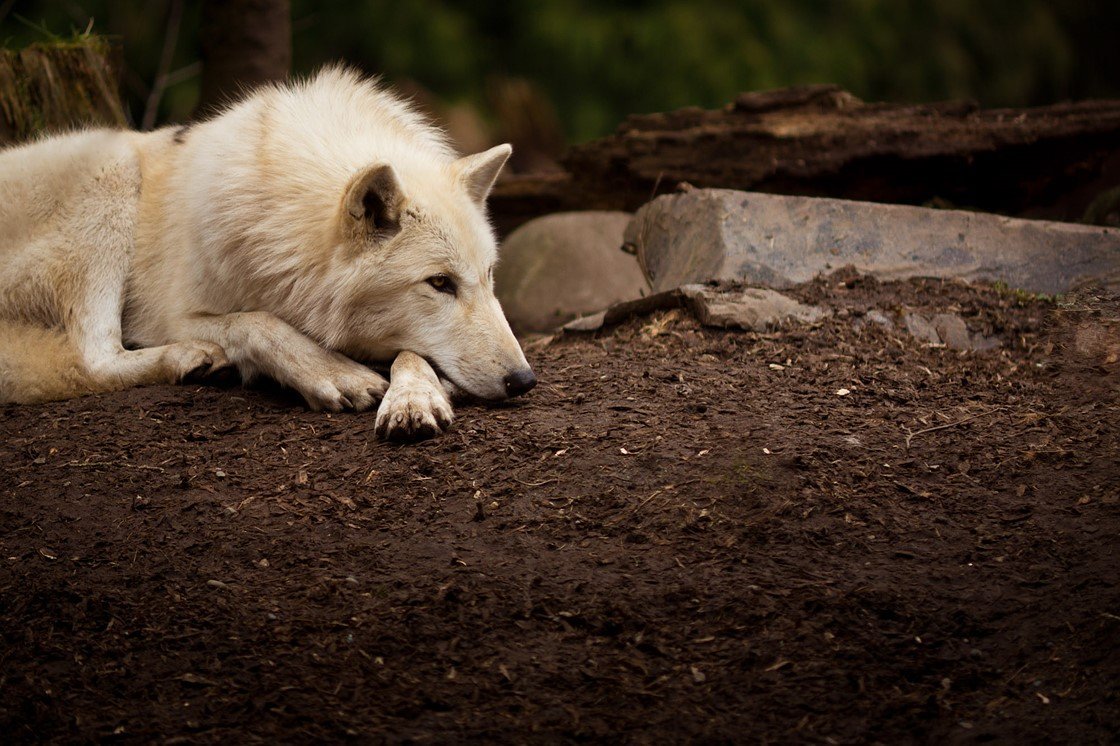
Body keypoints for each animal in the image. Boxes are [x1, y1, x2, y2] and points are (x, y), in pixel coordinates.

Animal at [0, 66, 537, 439]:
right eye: (439, 283)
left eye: (488, 276)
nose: (524, 379)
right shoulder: (170, 314)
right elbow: (257, 323)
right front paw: (333, 373)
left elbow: (413, 352)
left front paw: (414, 398)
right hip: (112, 171)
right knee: (92, 358)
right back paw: (192, 357)